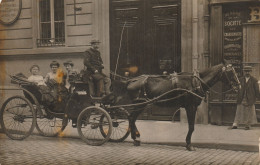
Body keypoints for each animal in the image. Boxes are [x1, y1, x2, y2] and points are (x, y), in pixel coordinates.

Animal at [103, 62, 240, 151]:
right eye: (231, 73)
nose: (239, 86)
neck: (195, 82)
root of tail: (131, 80)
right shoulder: (190, 106)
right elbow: (191, 127)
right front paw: (189, 145)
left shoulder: (193, 107)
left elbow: (192, 126)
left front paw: (188, 143)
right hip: (140, 104)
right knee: (131, 118)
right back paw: (135, 138)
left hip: (140, 104)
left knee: (132, 118)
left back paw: (136, 136)